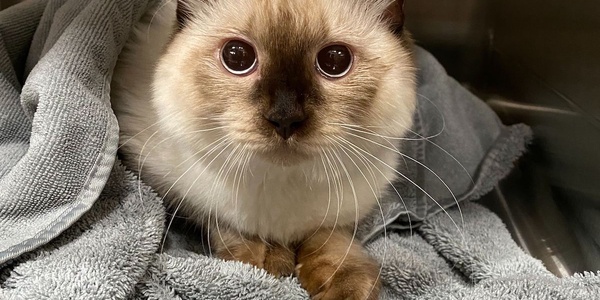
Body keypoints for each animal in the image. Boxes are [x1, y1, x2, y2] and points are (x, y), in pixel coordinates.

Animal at [110, 0, 414, 298]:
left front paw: (343, 286)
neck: (283, 185)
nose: (284, 118)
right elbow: (237, 233)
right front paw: (271, 264)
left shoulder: (342, 214)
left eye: (335, 61)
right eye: (236, 57)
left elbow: (332, 240)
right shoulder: (184, 194)